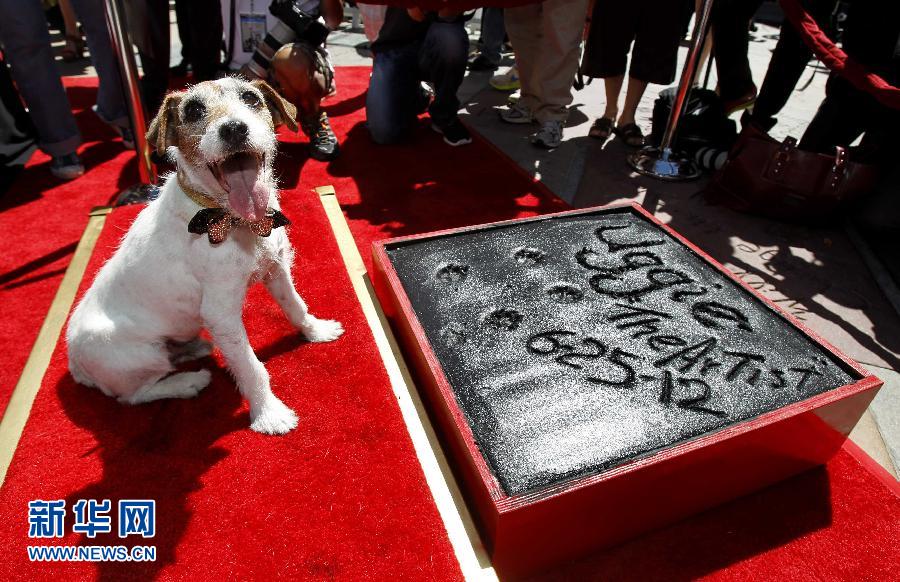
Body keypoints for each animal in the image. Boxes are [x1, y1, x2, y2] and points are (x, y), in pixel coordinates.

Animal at [67, 76, 344, 434]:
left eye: (251, 99)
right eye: (194, 110)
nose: (234, 129)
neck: (230, 219)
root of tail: (74, 362)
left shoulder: (276, 269)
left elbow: (296, 306)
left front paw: (316, 331)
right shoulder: (221, 313)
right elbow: (251, 367)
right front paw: (269, 412)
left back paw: (191, 349)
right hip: (141, 358)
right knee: (134, 395)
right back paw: (187, 382)